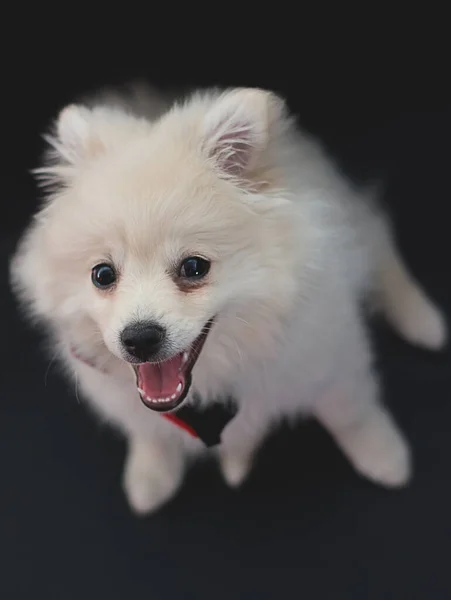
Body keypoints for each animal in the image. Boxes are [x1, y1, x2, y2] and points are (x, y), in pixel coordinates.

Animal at [9, 83, 444, 516]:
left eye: (194, 267)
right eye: (103, 275)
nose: (139, 337)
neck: (212, 381)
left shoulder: (331, 357)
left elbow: (352, 413)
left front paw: (384, 456)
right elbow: (151, 435)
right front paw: (150, 477)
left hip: (355, 225)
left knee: (382, 244)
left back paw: (424, 322)